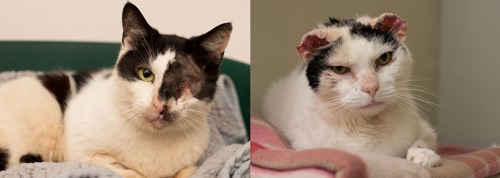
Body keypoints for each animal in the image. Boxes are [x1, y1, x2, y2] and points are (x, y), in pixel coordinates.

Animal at [0, 2, 231, 178]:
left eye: (186, 81)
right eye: (145, 74)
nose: (160, 103)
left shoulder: (193, 161)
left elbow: (190, 170)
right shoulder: (81, 153)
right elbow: (127, 172)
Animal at [264, 13, 440, 167]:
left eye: (384, 58)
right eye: (340, 69)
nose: (371, 87)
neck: (369, 125)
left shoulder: (427, 131)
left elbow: (422, 141)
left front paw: (424, 154)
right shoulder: (303, 145)